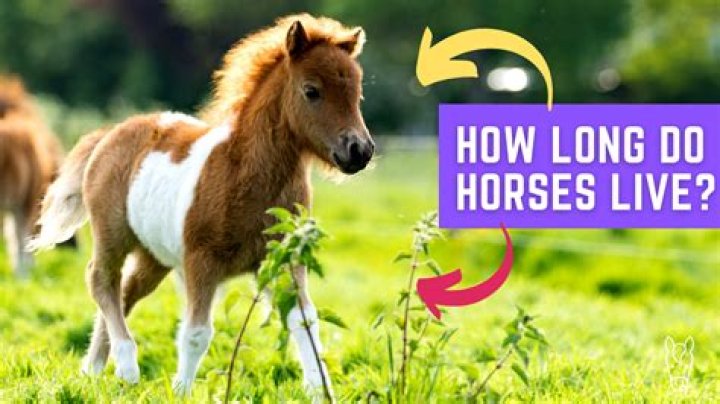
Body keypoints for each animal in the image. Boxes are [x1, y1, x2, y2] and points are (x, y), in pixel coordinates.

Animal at [30, 14, 373, 397]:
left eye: (357, 93)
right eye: (311, 91)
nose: (359, 150)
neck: (244, 172)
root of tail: (110, 133)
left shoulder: (284, 257)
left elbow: (304, 321)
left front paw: (321, 391)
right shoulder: (201, 262)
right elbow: (196, 334)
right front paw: (181, 391)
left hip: (154, 257)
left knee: (125, 292)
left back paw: (93, 370)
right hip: (113, 235)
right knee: (101, 280)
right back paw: (127, 365)